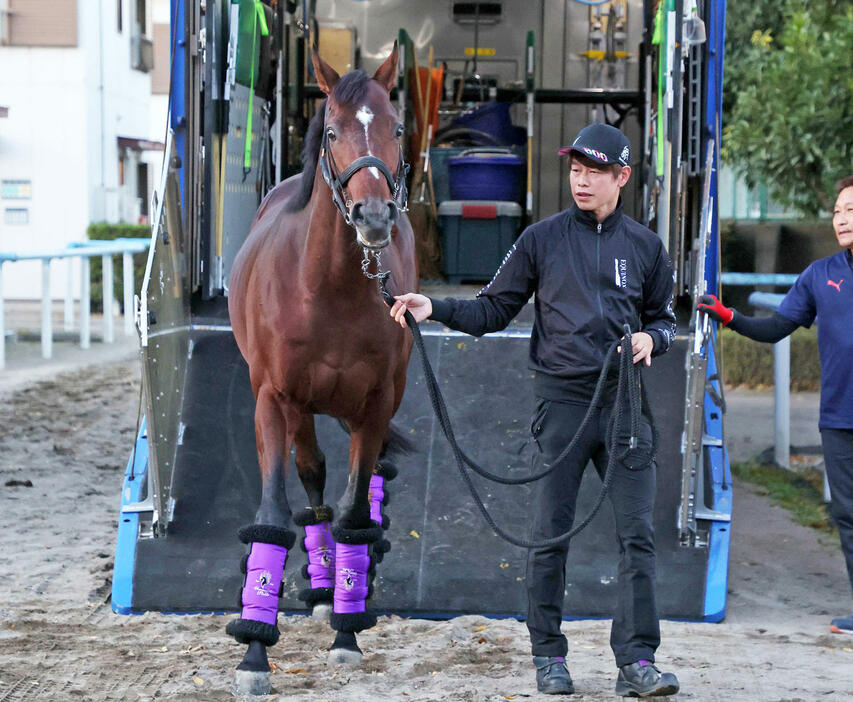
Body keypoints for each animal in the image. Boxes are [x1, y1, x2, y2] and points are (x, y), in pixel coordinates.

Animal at [225, 45, 414, 700]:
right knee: (312, 483)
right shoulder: (272, 401)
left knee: (361, 488)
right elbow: (273, 517)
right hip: (298, 411)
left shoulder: (376, 406)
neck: (328, 289)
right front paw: (255, 651)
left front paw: (348, 634)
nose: (375, 216)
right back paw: (323, 585)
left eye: (397, 128)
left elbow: (355, 513)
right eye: (332, 131)